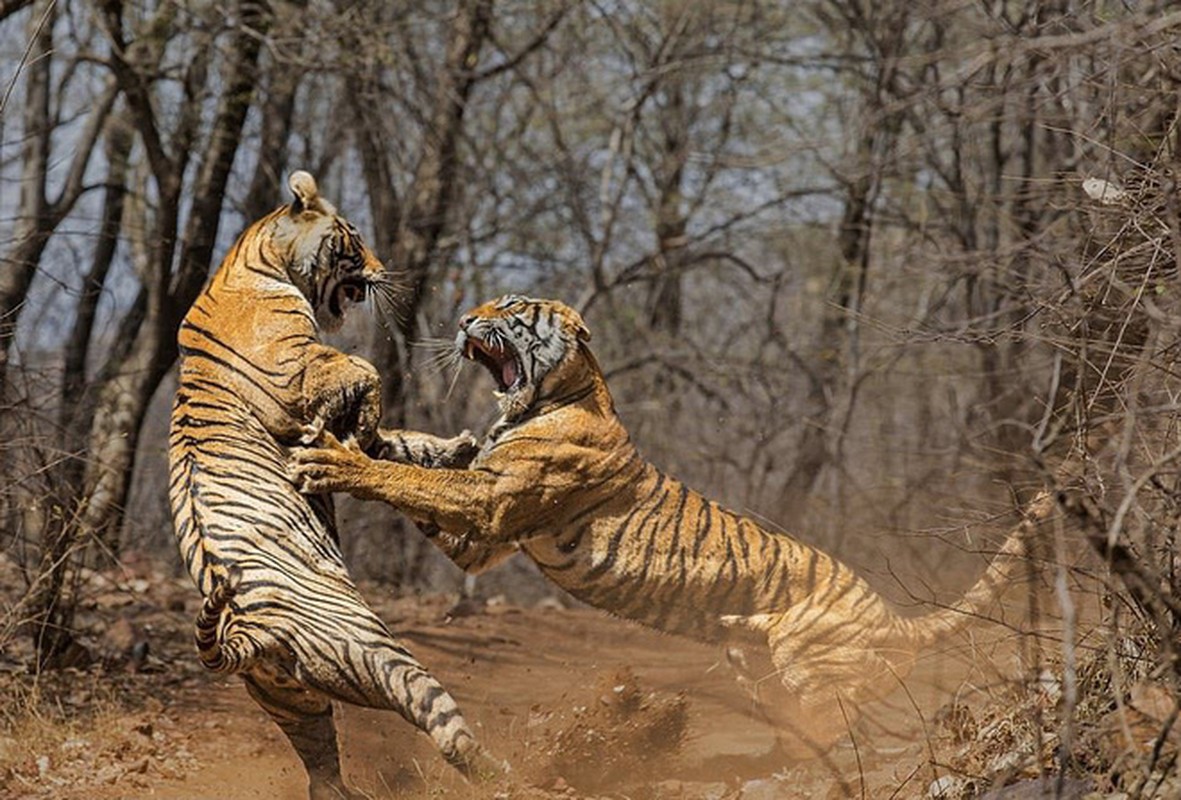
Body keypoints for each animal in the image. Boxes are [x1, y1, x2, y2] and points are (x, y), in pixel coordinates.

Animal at [166, 171, 488, 794]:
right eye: (354, 238)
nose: (383, 269)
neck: (255, 259)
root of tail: (253, 634)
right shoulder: (301, 372)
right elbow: (368, 374)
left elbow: (393, 445)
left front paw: (455, 448)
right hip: (378, 653)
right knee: (443, 725)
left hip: (295, 700)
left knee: (321, 771)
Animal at [290, 295, 1058, 761]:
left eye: (508, 309)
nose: (460, 318)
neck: (546, 397)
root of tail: (894, 617)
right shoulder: (480, 540)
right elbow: (414, 465)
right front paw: (379, 433)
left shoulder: (492, 504)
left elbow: (409, 479)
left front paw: (334, 457)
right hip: (757, 667)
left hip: (808, 669)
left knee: (841, 733)